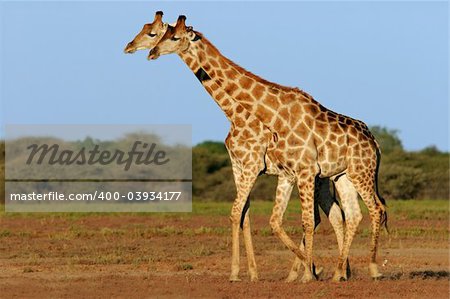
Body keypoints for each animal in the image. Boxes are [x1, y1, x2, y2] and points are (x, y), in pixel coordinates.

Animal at [148, 15, 386, 284]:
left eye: (174, 37)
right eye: (162, 34)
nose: (152, 52)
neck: (275, 115)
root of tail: (374, 142)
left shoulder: (300, 171)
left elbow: (304, 220)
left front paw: (308, 272)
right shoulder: (286, 174)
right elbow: (272, 220)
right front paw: (308, 270)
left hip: (361, 172)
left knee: (375, 209)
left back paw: (372, 268)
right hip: (342, 176)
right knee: (352, 215)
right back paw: (338, 273)